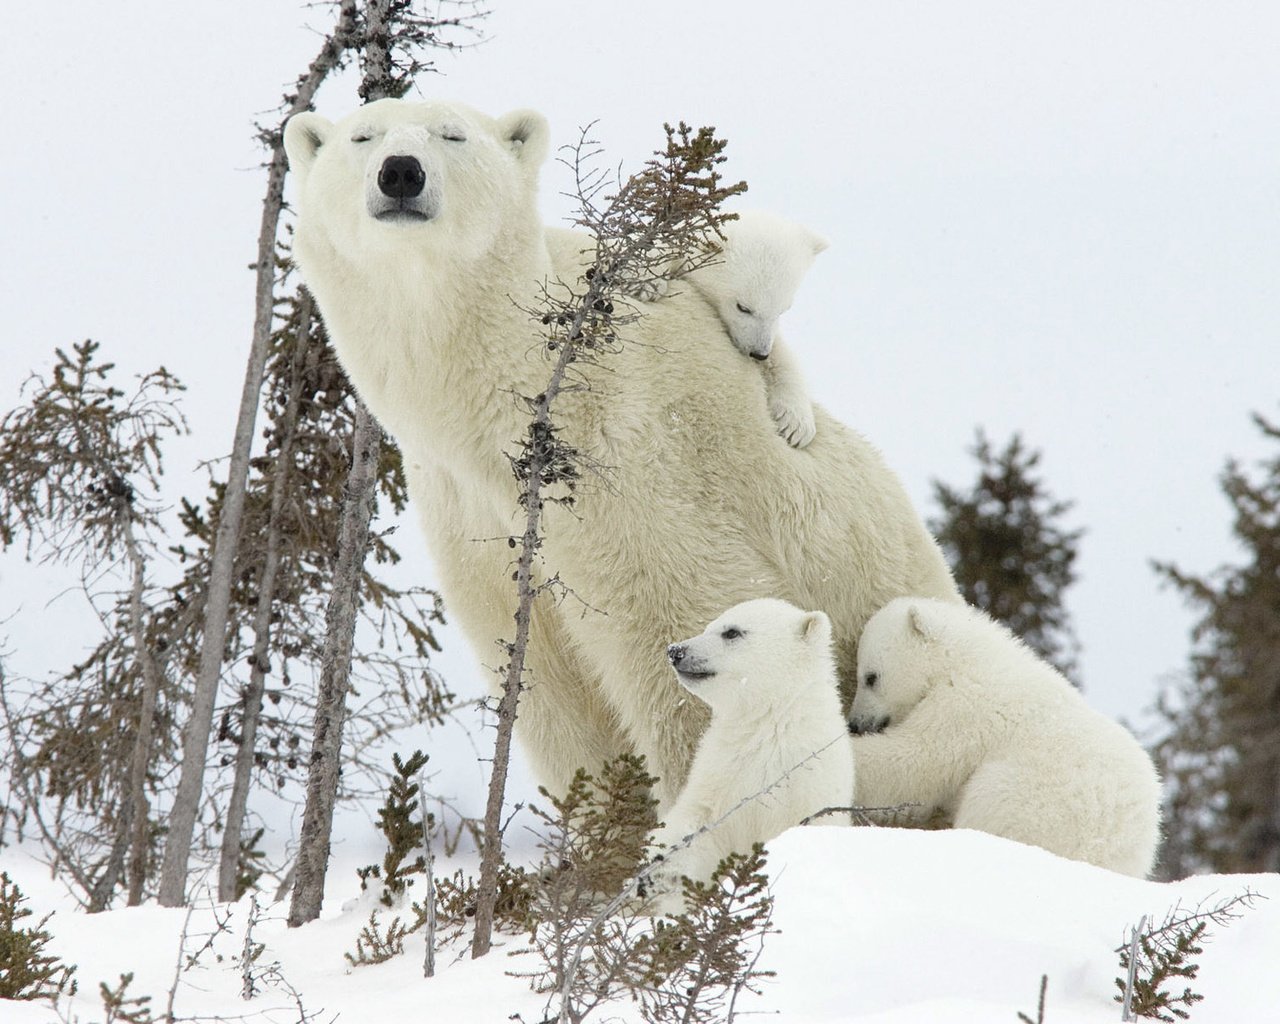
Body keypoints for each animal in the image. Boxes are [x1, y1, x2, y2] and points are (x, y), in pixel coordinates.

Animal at [282, 99, 962, 803]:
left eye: (453, 135)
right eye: (363, 136)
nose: (401, 173)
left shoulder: (633, 464)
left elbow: (684, 635)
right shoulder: (469, 514)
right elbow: (553, 693)